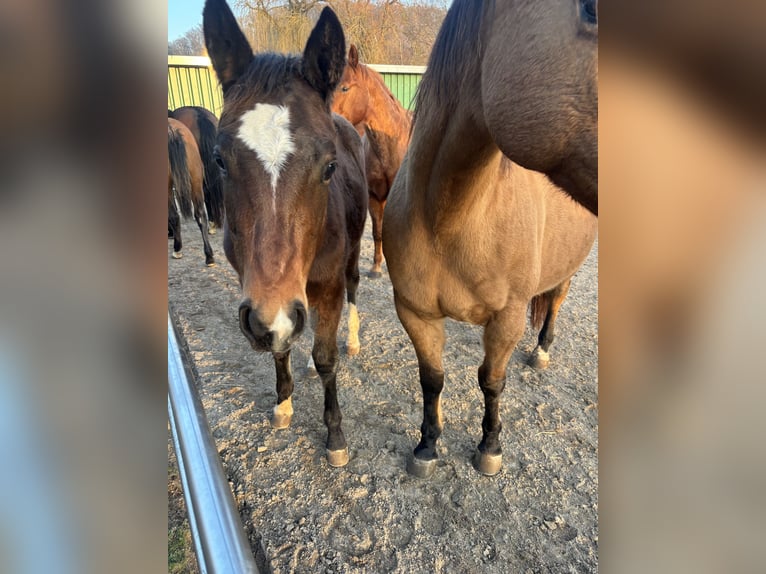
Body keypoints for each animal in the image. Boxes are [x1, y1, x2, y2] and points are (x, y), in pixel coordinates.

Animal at [203, 1, 368, 467]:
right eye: (219, 160)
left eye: (329, 166)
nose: (273, 317)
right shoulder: (263, 296)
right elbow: (282, 345)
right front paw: (283, 403)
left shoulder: (325, 287)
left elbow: (327, 357)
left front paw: (335, 436)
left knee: (353, 288)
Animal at [383, 0, 598, 478]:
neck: (449, 220)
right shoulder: (415, 312)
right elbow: (432, 379)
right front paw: (427, 445)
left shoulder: (506, 318)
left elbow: (491, 381)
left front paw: (489, 447)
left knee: (556, 300)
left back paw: (541, 351)